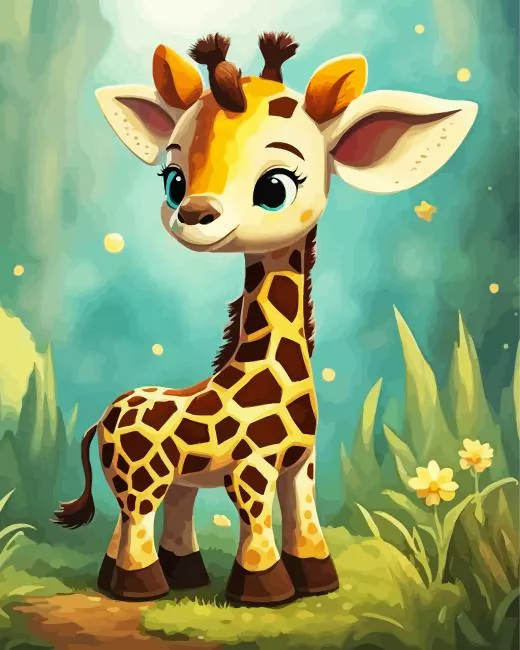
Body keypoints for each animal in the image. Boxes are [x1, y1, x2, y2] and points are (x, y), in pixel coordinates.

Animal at [55, 33, 477, 605]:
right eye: (173, 181)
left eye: (275, 187)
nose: (193, 214)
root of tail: (103, 416)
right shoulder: (251, 469)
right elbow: (258, 525)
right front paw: (265, 591)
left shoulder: (301, 463)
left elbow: (305, 518)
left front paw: (318, 582)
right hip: (141, 477)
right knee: (137, 518)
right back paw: (141, 589)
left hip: (168, 479)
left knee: (145, 517)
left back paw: (162, 579)